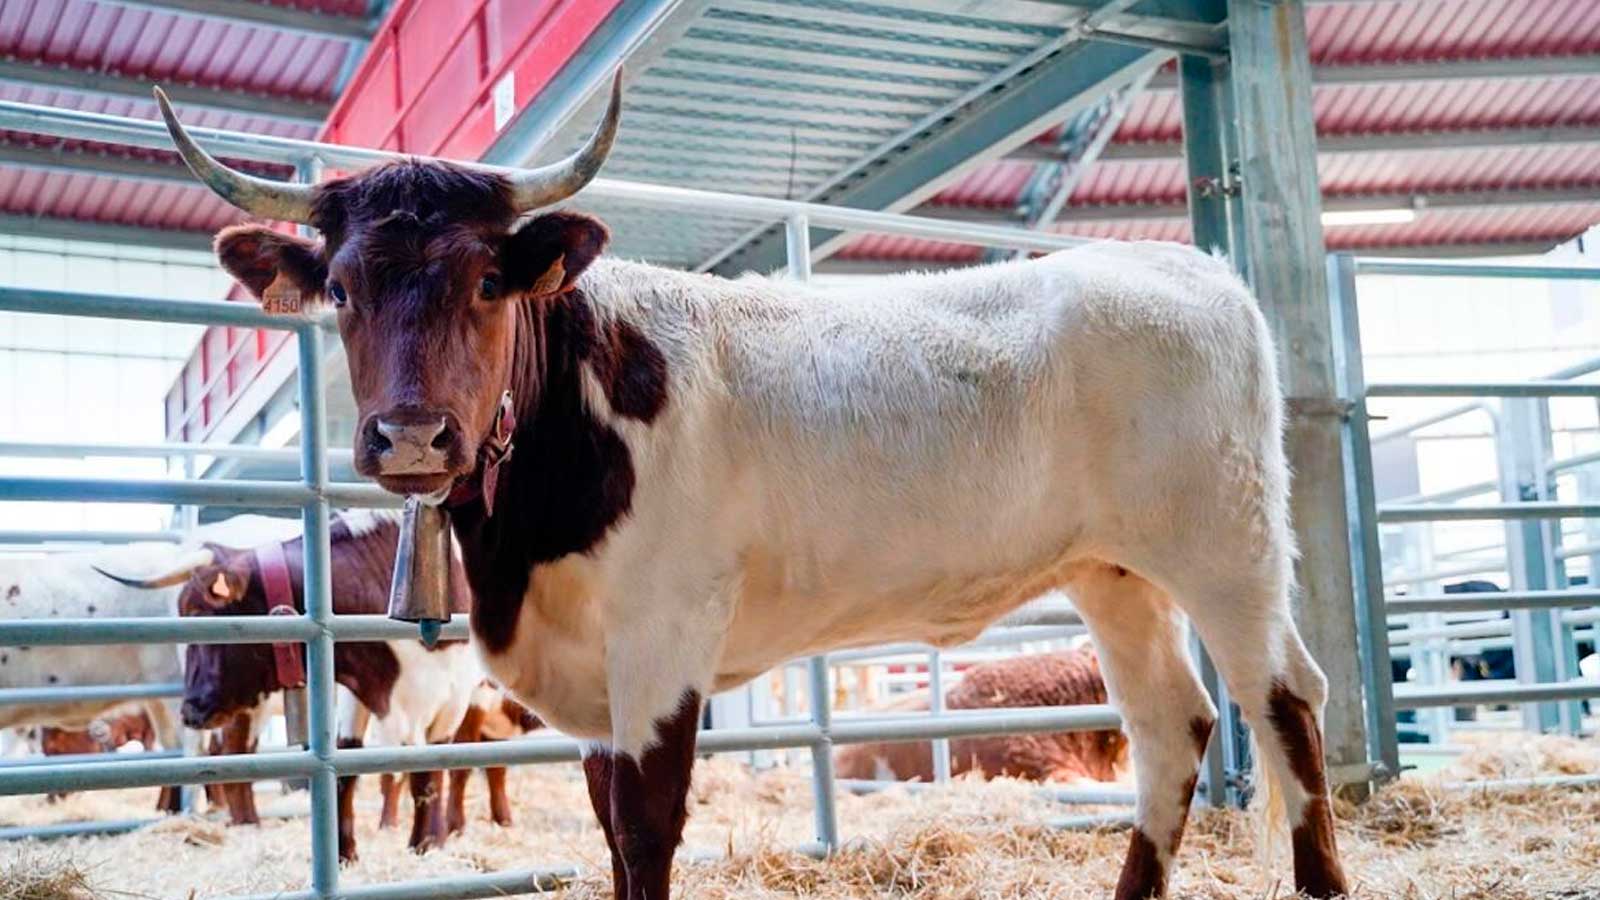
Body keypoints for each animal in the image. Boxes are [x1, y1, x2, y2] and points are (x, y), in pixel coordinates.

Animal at [101, 509, 484, 861]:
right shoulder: (362, 692)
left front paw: (426, 844)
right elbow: (349, 761)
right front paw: (344, 852)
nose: (191, 710)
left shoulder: (449, 698)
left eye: (199, 617)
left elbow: (428, 773)